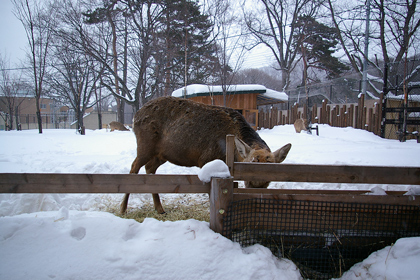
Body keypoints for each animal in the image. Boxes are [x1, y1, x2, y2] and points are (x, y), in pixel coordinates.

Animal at [120, 97, 292, 214]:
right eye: (247, 181)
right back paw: (123, 209)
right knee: (133, 168)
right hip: (145, 146)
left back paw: (160, 208)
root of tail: (136, 116)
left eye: (269, 181)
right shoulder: (206, 160)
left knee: (149, 168)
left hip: (161, 155)